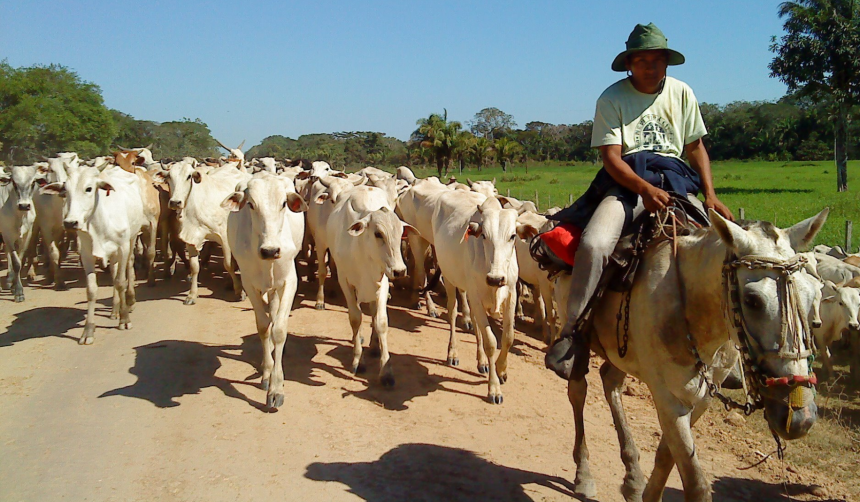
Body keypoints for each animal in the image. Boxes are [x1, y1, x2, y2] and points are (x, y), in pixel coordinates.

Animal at [40, 165, 148, 346]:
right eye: (65, 191)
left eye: (89, 189)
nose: (70, 222)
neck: (99, 224)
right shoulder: (86, 254)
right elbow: (91, 290)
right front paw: (88, 330)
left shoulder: (123, 248)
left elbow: (121, 282)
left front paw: (125, 319)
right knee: (113, 272)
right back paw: (114, 310)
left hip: (132, 239)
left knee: (127, 268)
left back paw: (127, 303)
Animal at [222, 173, 310, 408]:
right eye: (251, 204)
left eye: (283, 204)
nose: (270, 251)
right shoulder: (249, 283)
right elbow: (263, 327)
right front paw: (267, 374)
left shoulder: (290, 281)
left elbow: (279, 330)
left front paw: (276, 388)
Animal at [324, 184, 414, 384]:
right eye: (378, 233)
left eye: (400, 233)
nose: (400, 270)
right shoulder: (345, 282)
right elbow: (355, 319)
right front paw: (358, 360)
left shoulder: (383, 282)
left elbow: (381, 322)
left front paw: (386, 371)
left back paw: (374, 346)